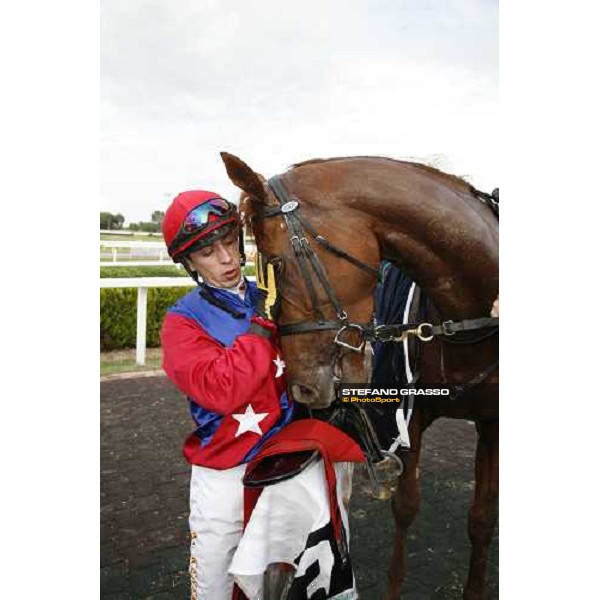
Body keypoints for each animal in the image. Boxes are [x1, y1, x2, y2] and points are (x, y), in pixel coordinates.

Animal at [223, 152, 500, 596]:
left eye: (278, 265)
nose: (301, 388)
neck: (469, 322)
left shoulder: (492, 424)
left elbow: (482, 518)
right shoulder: (410, 413)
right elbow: (405, 507)